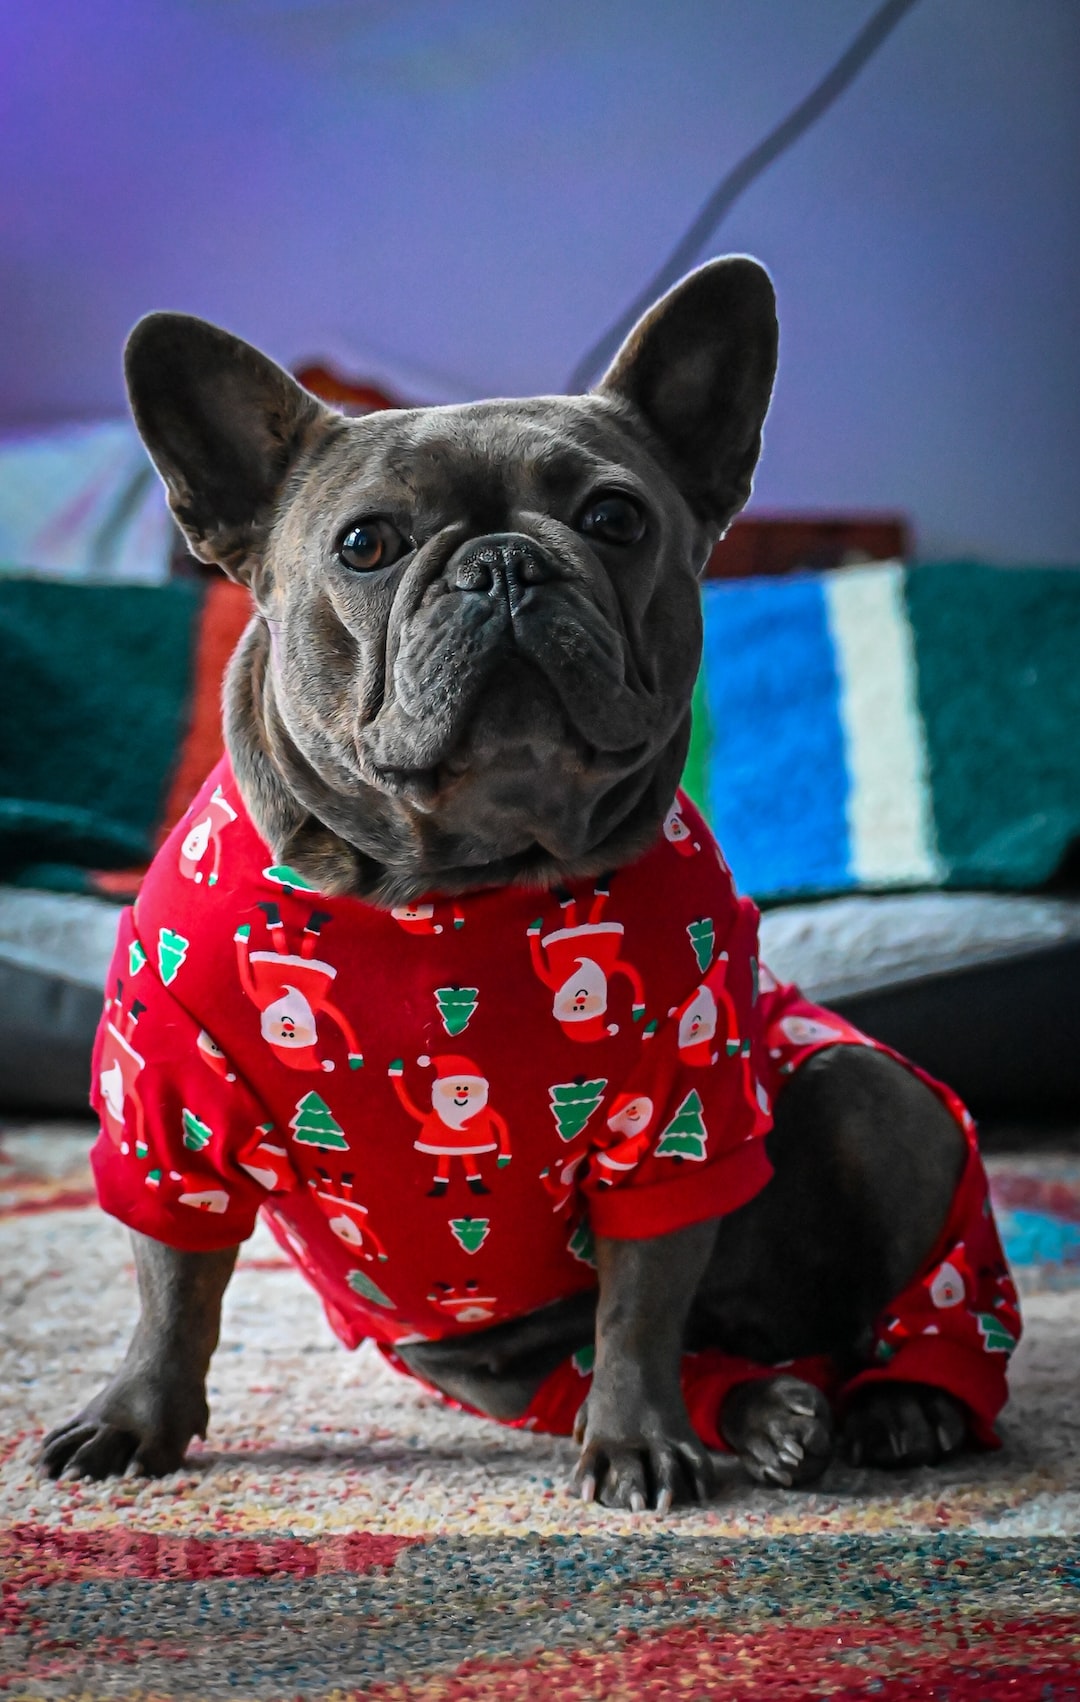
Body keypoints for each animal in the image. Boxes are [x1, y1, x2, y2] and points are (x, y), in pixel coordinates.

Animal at [38, 258, 1020, 1511]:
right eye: (366, 543)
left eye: (615, 518)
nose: (502, 561)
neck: (455, 879)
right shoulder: (169, 1110)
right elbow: (172, 1284)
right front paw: (133, 1421)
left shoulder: (675, 1122)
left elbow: (641, 1303)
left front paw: (639, 1445)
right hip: (474, 1353)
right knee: (653, 1360)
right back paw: (766, 1414)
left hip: (878, 1099)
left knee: (871, 1298)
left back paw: (901, 1401)